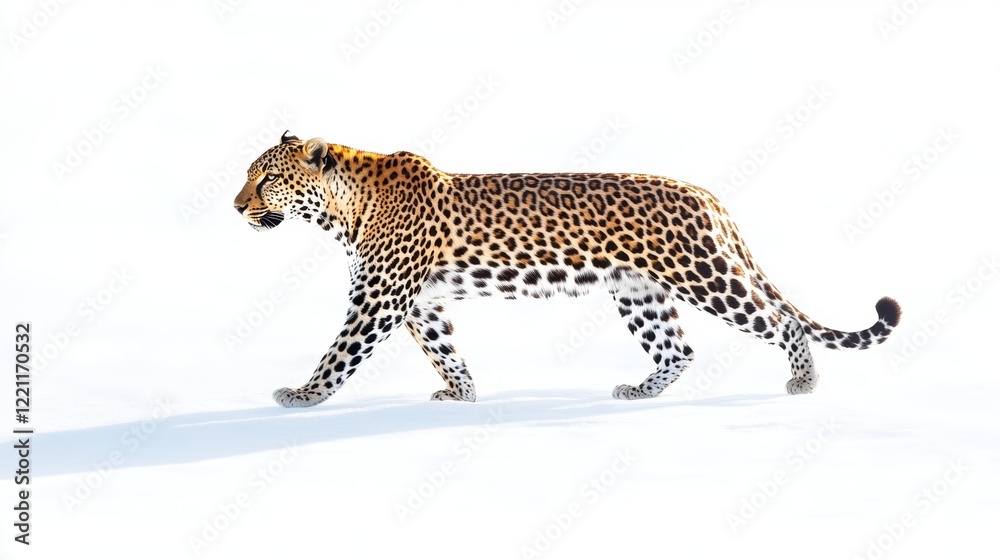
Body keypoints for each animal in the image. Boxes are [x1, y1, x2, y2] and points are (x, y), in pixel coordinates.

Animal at [233, 131, 901, 408]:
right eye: (249, 175)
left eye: (265, 179)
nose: (236, 206)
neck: (342, 208)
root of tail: (707, 195)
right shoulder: (419, 301)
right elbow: (444, 349)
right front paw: (462, 393)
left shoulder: (379, 297)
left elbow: (339, 352)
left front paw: (302, 395)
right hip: (638, 292)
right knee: (678, 349)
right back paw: (639, 391)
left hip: (706, 276)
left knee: (780, 323)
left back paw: (803, 383)